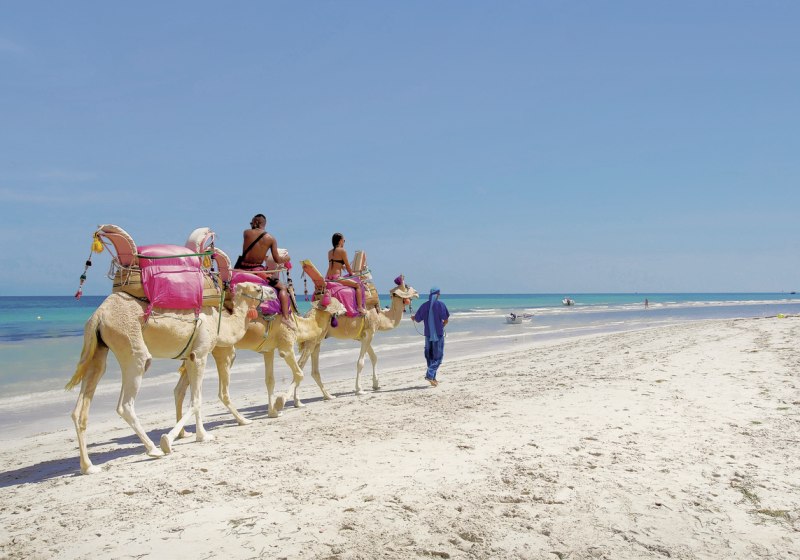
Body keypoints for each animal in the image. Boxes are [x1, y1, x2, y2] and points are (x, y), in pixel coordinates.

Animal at [65, 281, 272, 475]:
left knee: (81, 407)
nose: (272, 290)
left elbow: (188, 396)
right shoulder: (200, 354)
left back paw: (88, 467)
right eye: (256, 288)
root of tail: (98, 315)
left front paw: (197, 435)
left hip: (99, 349)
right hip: (130, 345)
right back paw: (153, 449)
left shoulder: (190, 357)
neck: (220, 323)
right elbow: (196, 400)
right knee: (125, 403)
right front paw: (185, 438)